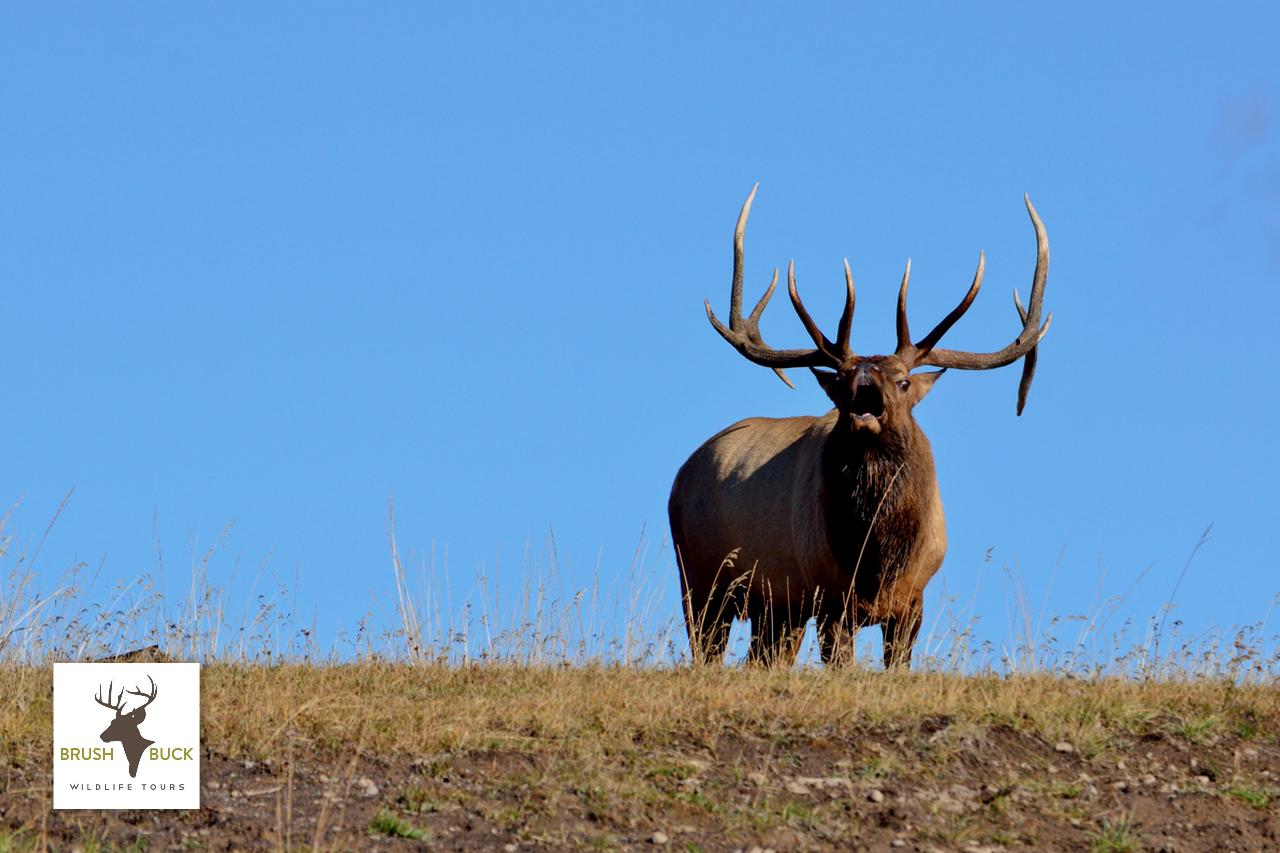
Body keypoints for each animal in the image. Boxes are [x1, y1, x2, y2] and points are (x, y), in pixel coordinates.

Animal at [670, 184, 1049, 666]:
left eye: (903, 381)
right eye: (842, 380)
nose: (865, 381)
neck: (875, 562)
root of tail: (683, 473)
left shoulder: (912, 601)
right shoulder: (830, 596)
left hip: (775, 609)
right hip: (701, 580)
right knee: (707, 647)